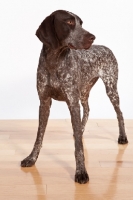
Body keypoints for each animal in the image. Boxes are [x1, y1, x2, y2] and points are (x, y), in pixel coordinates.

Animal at [21, 10, 128, 184]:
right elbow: (39, 136)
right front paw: (32, 158)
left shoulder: (72, 102)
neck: (54, 61)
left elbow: (78, 147)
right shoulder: (44, 102)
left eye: (81, 23)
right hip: (83, 91)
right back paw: (81, 129)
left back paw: (122, 137)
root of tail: (105, 47)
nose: (92, 37)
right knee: (88, 109)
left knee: (119, 113)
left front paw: (81, 172)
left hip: (110, 88)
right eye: (69, 22)